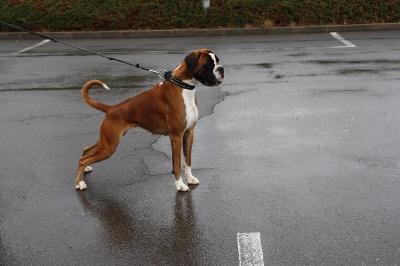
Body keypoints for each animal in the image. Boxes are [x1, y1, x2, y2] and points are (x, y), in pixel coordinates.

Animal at [74, 48, 223, 191]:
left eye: (217, 61)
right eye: (209, 65)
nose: (221, 68)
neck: (182, 85)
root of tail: (111, 109)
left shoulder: (189, 133)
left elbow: (188, 160)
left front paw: (190, 178)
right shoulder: (176, 136)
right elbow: (177, 163)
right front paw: (179, 185)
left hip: (107, 141)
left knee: (86, 152)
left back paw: (85, 169)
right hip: (109, 146)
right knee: (83, 160)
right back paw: (80, 183)